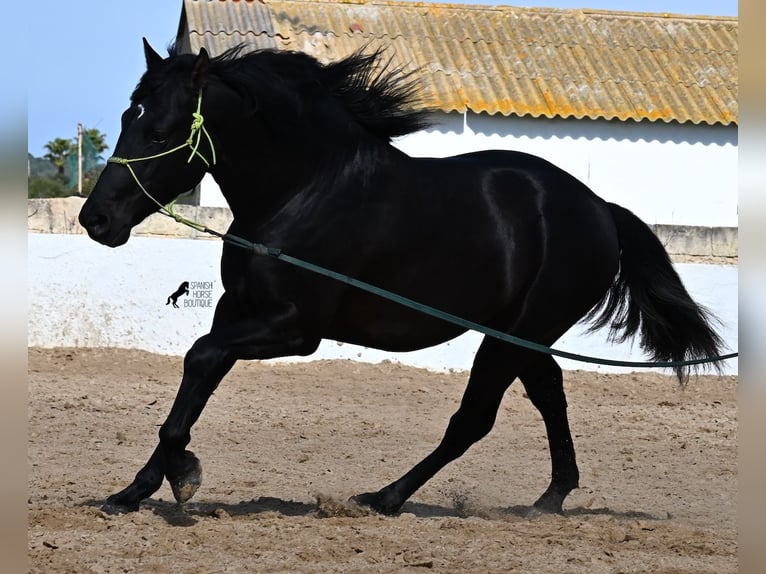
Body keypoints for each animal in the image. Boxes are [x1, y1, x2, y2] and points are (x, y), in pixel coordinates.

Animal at [78, 40, 728, 516]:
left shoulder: (294, 329)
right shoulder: (237, 310)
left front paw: (183, 477)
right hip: (519, 334)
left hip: (516, 333)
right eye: (128, 116)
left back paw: (385, 497)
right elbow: (198, 376)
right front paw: (133, 491)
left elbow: (202, 357)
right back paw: (549, 498)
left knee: (474, 420)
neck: (302, 190)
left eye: (160, 132)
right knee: (548, 394)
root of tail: (599, 209)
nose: (96, 219)